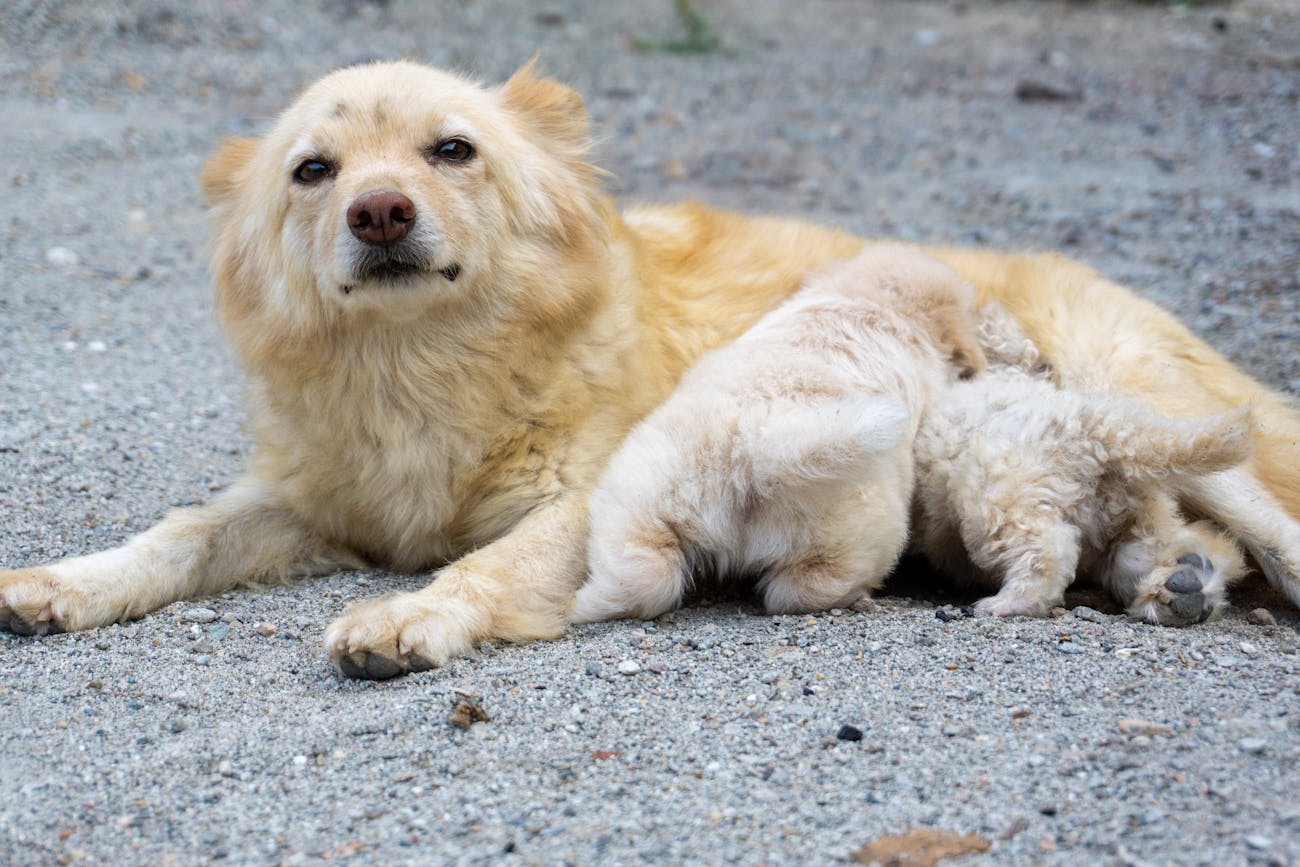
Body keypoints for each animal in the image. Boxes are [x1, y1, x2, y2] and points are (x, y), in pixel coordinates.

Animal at [572, 245, 982, 623]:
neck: (873, 302)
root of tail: (755, 453)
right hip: (851, 536)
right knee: (804, 591)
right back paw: (860, 596)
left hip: (641, 501)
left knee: (640, 577)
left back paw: (580, 606)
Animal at [909, 305, 1253, 623]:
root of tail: (1103, 434)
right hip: (1136, 513)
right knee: (1143, 553)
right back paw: (1184, 586)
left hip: (998, 499)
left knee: (1048, 552)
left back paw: (1007, 603)